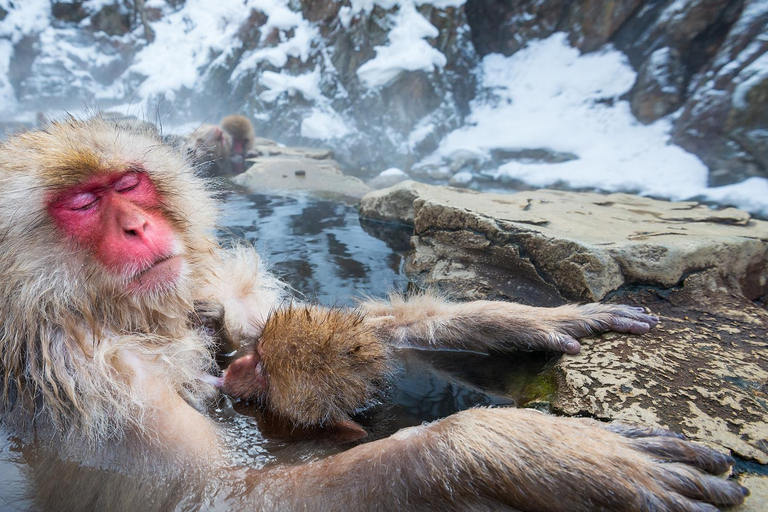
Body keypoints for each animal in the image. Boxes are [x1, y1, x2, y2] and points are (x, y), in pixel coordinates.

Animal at [0, 116, 748, 511]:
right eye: (84, 204)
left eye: (129, 184)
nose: (136, 226)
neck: (129, 315)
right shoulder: (99, 387)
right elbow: (219, 494)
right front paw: (526, 452)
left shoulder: (208, 288)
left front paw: (520, 318)